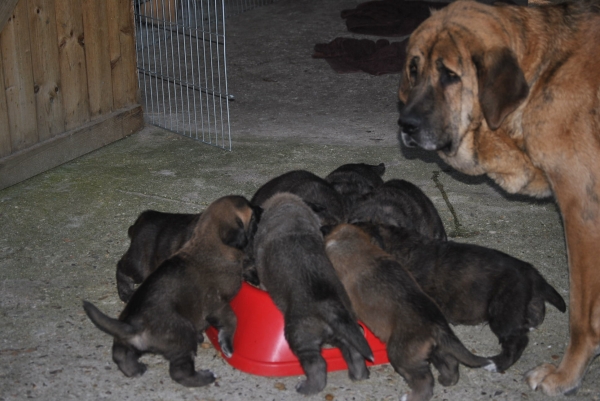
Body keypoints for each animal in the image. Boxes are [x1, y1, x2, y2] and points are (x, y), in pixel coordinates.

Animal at [84, 195, 260, 386]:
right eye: (252, 216)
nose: (260, 209)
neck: (208, 241)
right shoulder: (218, 304)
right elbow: (231, 320)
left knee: (121, 353)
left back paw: (135, 369)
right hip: (142, 272)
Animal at [253, 192, 376, 392]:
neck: (291, 216)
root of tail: (332, 307)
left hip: (300, 336)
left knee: (317, 365)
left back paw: (307, 388)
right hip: (344, 334)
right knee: (355, 354)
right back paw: (359, 375)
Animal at [324, 223, 492, 400]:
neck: (350, 242)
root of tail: (436, 325)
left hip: (401, 355)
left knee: (424, 379)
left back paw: (411, 396)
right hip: (436, 349)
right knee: (450, 364)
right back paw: (446, 380)